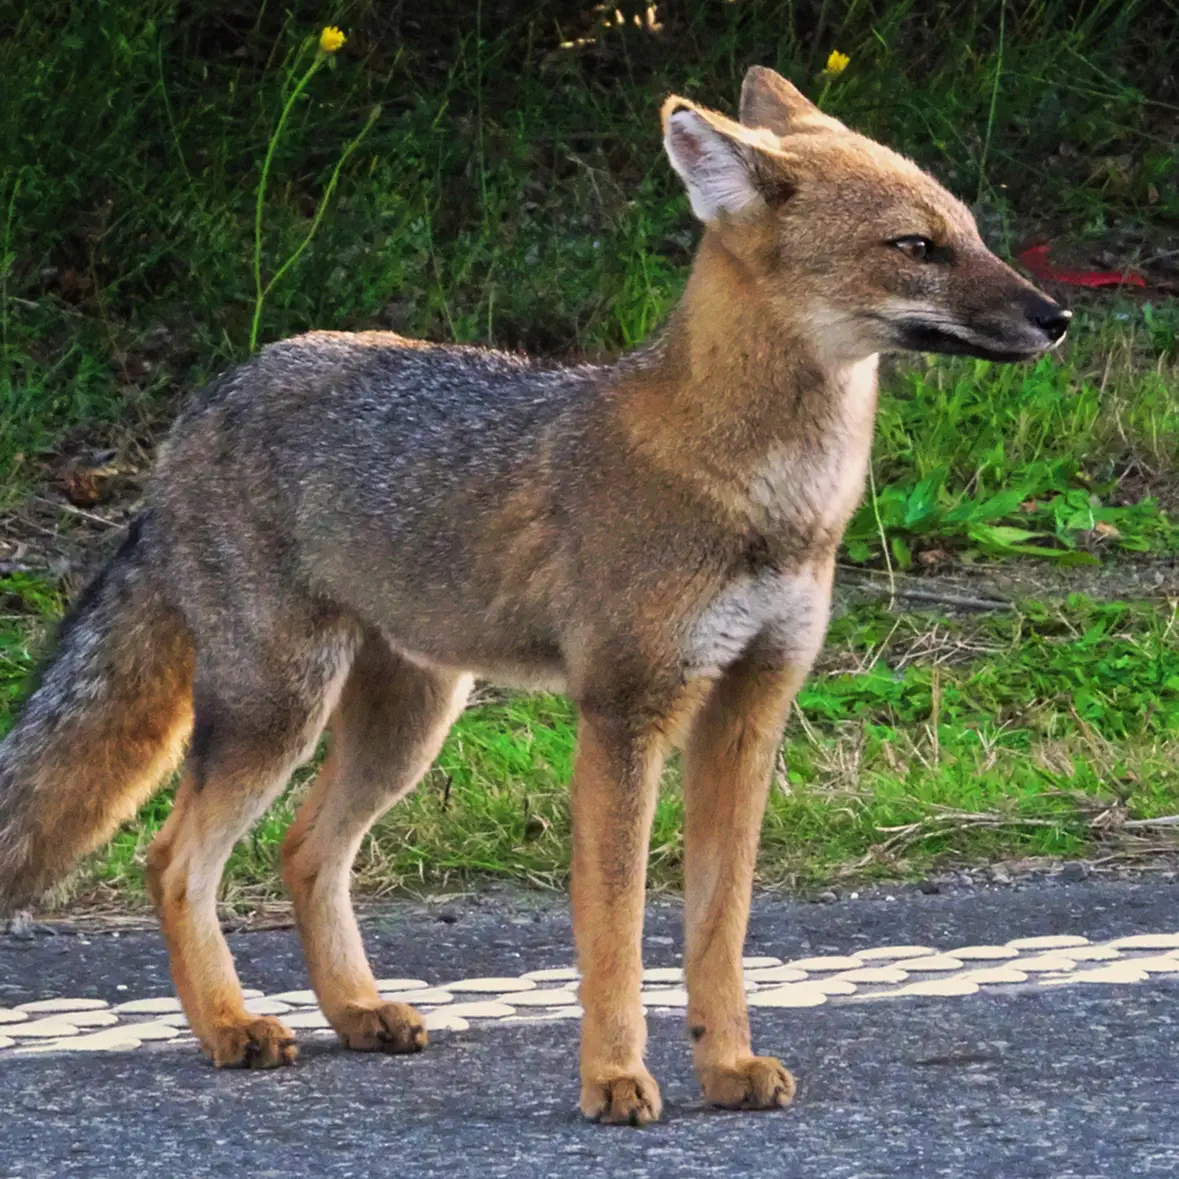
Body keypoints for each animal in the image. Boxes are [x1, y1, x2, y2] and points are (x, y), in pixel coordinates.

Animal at [0, 67, 1068, 1124]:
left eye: (971, 235)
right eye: (915, 248)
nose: (1056, 317)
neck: (769, 500)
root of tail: (209, 399)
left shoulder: (748, 710)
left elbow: (718, 928)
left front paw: (725, 1065)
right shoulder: (624, 714)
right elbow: (614, 932)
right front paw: (615, 1078)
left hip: (407, 725)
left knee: (306, 849)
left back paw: (355, 1010)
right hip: (280, 710)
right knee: (176, 859)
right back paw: (230, 1025)